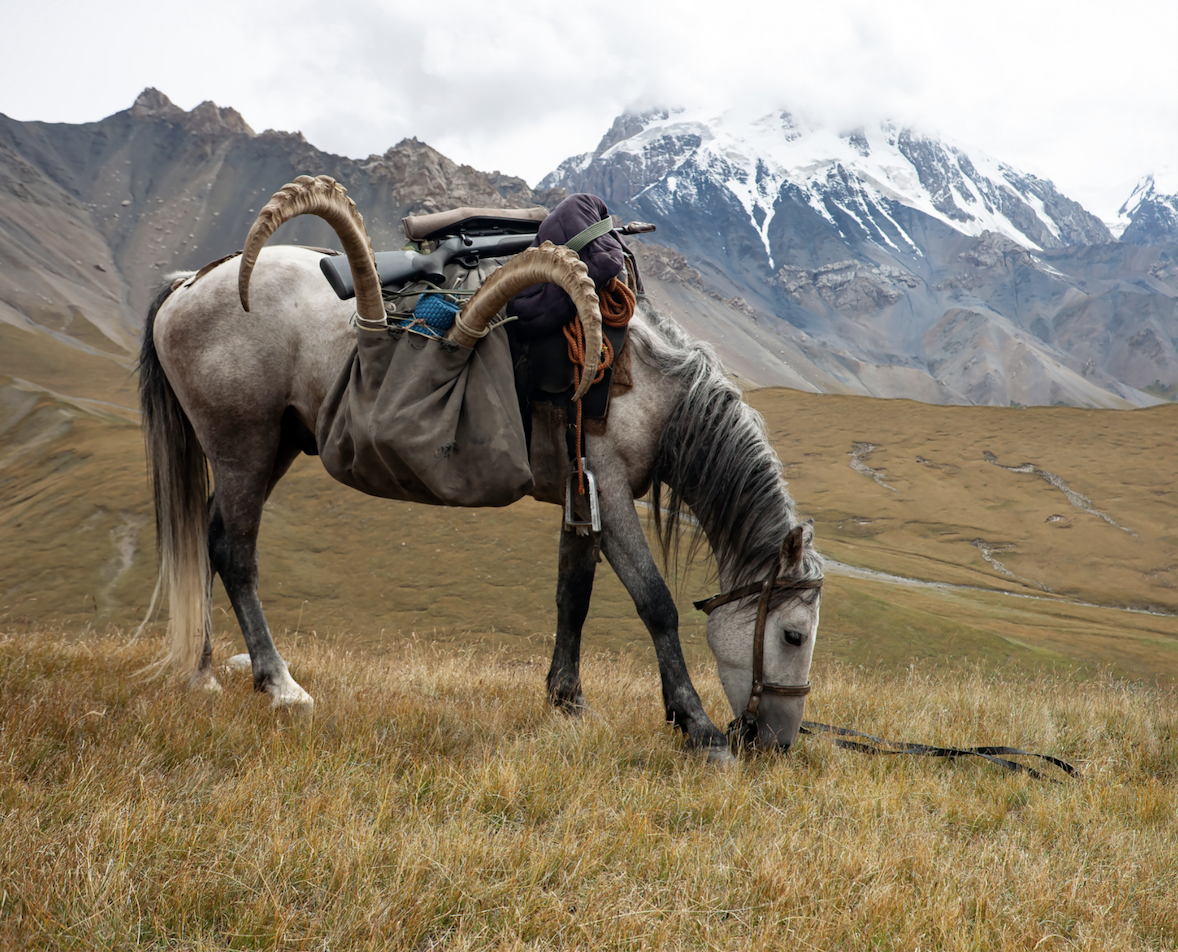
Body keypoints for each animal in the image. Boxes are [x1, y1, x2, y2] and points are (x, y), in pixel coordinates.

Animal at [139, 175, 824, 760]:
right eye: (793, 635)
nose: (777, 742)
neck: (649, 383)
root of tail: (186, 285)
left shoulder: (581, 491)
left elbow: (572, 595)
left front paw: (568, 701)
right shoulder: (608, 487)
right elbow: (654, 601)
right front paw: (697, 726)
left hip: (269, 447)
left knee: (205, 538)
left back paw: (202, 674)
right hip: (243, 446)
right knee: (233, 551)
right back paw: (280, 685)